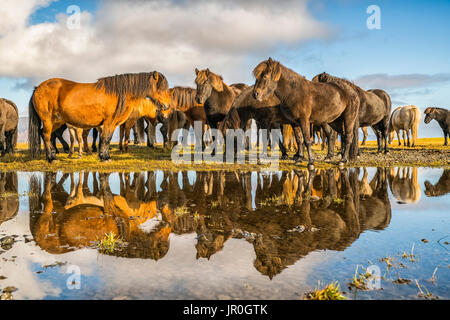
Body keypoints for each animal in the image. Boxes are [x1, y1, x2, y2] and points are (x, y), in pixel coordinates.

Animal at [28, 72, 172, 162]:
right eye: (160, 88)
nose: (167, 106)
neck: (118, 93)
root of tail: (37, 88)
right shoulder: (108, 122)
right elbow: (105, 138)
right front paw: (104, 157)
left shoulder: (112, 124)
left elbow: (107, 139)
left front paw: (104, 155)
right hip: (48, 120)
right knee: (46, 135)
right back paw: (52, 158)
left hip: (56, 121)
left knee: (45, 134)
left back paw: (53, 154)